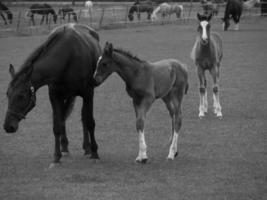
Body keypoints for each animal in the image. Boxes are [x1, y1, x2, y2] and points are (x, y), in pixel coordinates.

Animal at [3, 23, 102, 167]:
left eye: (22, 96)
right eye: (7, 94)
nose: (8, 126)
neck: (68, 56)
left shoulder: (88, 94)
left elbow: (89, 122)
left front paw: (95, 153)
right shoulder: (55, 96)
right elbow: (57, 125)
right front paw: (56, 156)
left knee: (83, 118)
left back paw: (87, 148)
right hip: (67, 96)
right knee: (63, 118)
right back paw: (65, 147)